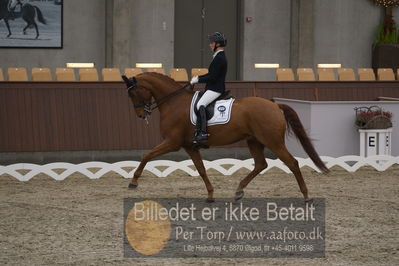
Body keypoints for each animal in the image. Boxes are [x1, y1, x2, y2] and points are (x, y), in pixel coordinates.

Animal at [122, 72, 328, 202]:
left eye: (133, 93)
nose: (141, 114)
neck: (174, 102)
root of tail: (275, 105)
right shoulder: (189, 146)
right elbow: (201, 169)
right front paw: (210, 195)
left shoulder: (172, 143)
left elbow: (146, 155)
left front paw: (133, 182)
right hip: (254, 140)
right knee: (261, 164)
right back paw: (238, 191)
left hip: (273, 142)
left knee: (292, 163)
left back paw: (306, 196)